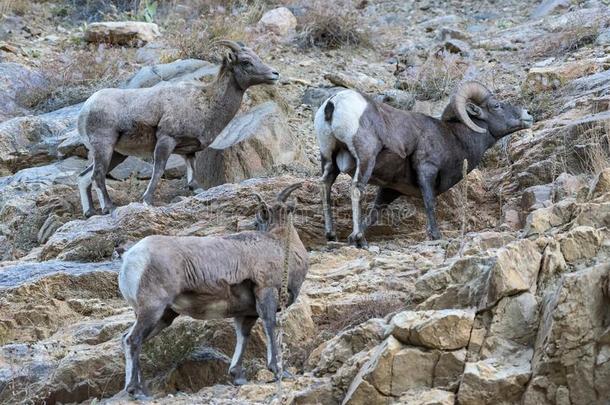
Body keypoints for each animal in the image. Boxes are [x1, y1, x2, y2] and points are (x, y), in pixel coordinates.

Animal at [76, 40, 278, 216]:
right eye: (246, 62)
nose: (275, 74)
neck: (206, 103)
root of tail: (86, 108)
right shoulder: (167, 140)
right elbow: (158, 171)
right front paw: (146, 201)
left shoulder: (189, 152)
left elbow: (192, 180)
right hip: (105, 146)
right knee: (97, 176)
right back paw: (109, 208)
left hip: (117, 154)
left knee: (84, 177)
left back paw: (90, 212)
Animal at [117, 183, 308, 398]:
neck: (281, 246)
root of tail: (129, 257)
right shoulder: (266, 293)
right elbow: (270, 326)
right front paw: (278, 370)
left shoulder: (247, 313)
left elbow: (243, 335)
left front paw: (238, 377)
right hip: (152, 309)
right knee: (133, 340)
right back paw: (136, 391)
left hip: (163, 316)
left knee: (130, 339)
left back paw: (138, 389)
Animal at [314, 81, 532, 245]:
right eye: (496, 106)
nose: (528, 115)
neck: (454, 138)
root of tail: (334, 103)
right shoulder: (427, 170)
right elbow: (429, 202)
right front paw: (436, 235)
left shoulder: (391, 188)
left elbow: (376, 211)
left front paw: (357, 236)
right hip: (366, 157)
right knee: (356, 188)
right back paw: (357, 239)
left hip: (329, 159)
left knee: (325, 186)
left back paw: (332, 235)